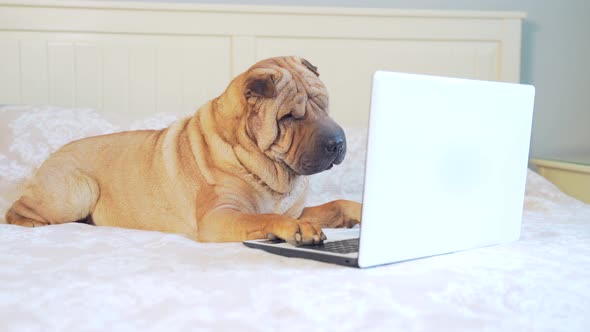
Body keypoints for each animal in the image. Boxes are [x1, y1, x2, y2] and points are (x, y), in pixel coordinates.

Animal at [6, 55, 364, 245]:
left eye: (324, 103)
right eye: (289, 117)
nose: (338, 142)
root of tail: (48, 161)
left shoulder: (296, 208)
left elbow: (335, 203)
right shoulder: (220, 217)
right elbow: (265, 216)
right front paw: (297, 230)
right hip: (78, 191)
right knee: (14, 210)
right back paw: (34, 225)